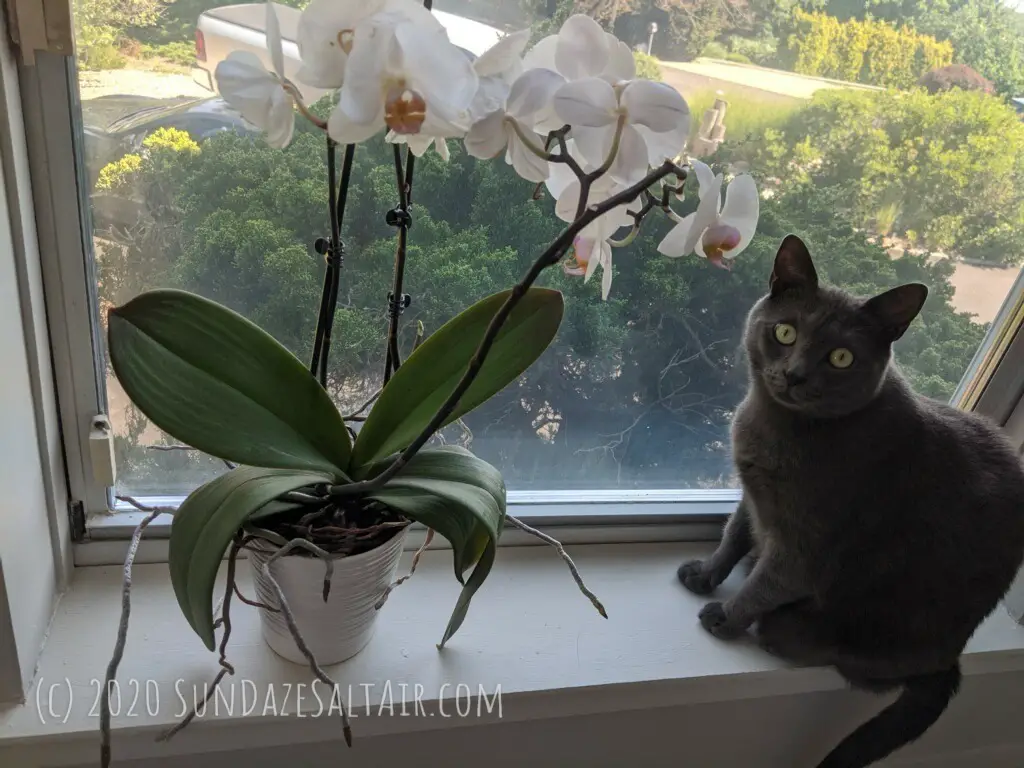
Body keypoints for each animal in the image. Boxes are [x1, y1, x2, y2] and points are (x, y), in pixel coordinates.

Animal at [679, 236, 1024, 768]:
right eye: (784, 331)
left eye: (841, 357)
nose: (795, 375)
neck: (775, 430)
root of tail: (951, 661)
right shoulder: (753, 497)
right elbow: (734, 533)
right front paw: (705, 574)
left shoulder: (806, 543)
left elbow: (765, 581)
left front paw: (728, 616)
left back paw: (781, 631)